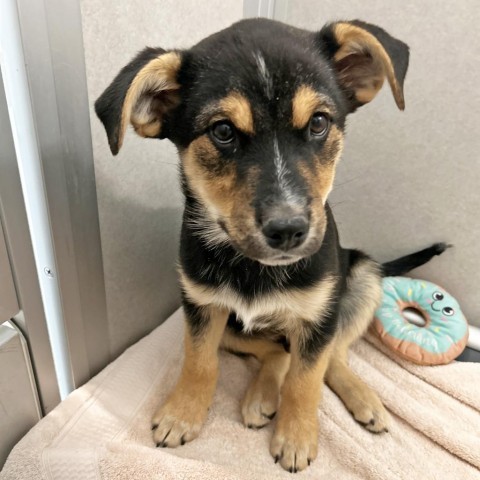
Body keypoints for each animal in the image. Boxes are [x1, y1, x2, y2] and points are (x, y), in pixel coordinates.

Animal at [95, 18, 448, 472]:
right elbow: (199, 362)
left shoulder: (319, 316)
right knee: (277, 352)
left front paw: (296, 437)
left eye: (319, 122)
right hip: (228, 325)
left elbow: (306, 380)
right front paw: (182, 414)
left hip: (363, 279)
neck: (254, 267)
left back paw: (363, 399)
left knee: (333, 356)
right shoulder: (200, 307)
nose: (288, 230)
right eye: (223, 131)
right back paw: (261, 399)